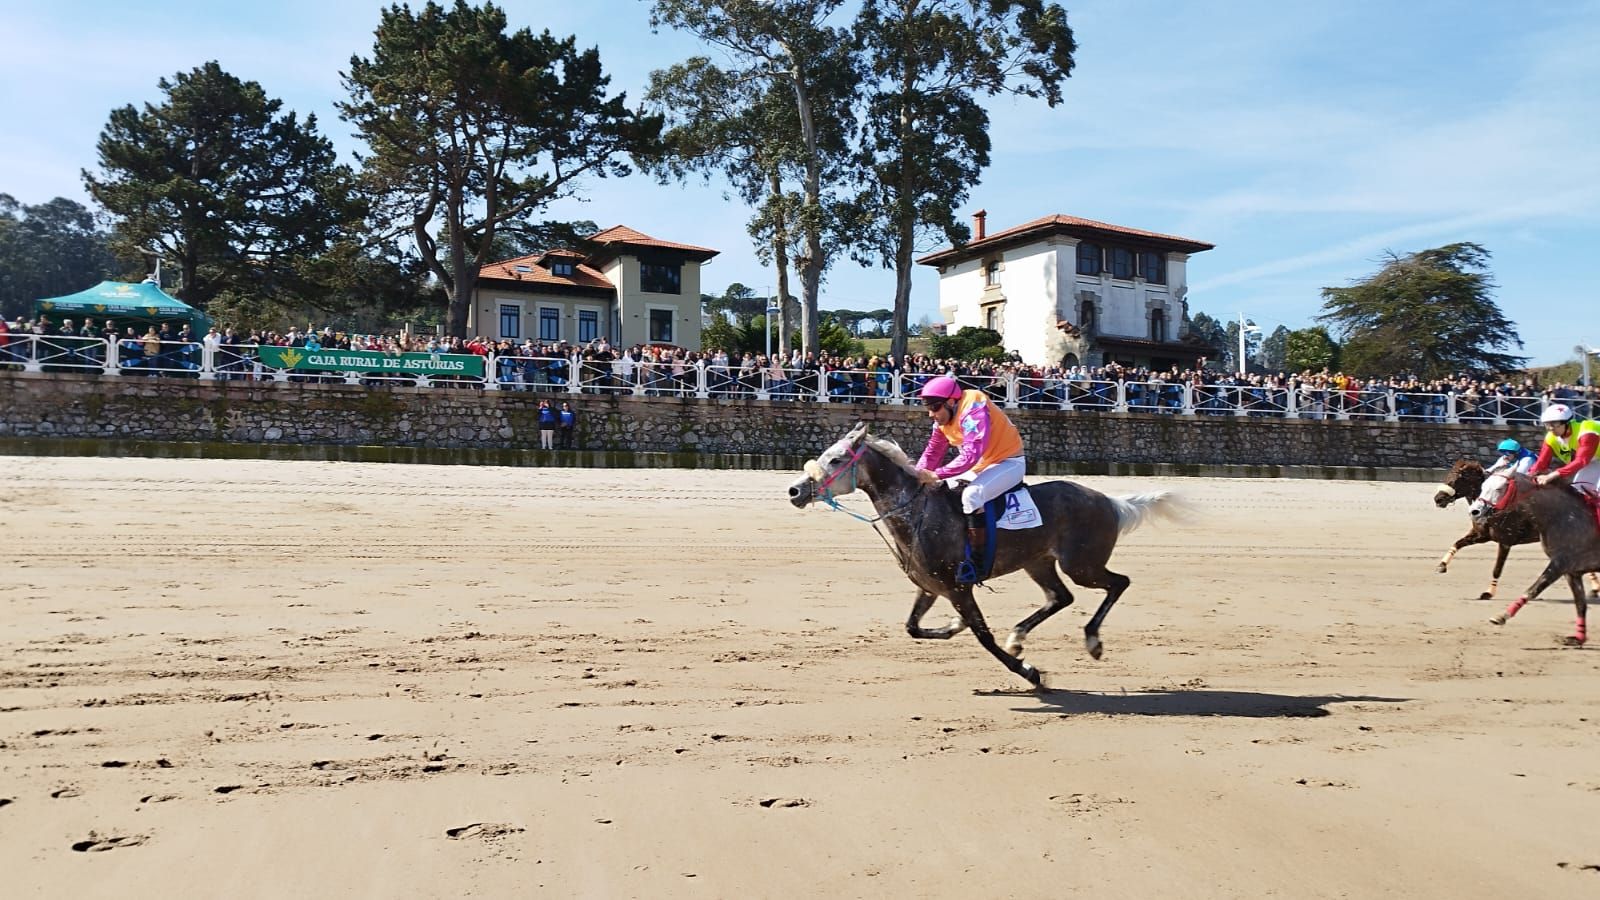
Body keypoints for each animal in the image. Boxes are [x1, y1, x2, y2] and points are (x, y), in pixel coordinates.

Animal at [780, 422, 1184, 682]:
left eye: (835, 460)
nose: (795, 491)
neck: (918, 513)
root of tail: (1110, 501)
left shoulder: (959, 588)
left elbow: (983, 636)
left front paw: (1029, 673)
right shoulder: (931, 586)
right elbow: (913, 627)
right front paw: (954, 626)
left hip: (1082, 564)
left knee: (1118, 583)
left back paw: (1092, 640)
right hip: (1039, 562)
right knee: (1061, 597)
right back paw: (1019, 637)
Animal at [1433, 461, 1542, 595]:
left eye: (1459, 478)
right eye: (1448, 475)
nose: (1438, 499)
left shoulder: (1506, 540)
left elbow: (1498, 568)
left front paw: (1489, 592)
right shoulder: (1481, 535)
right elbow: (1457, 543)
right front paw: (1442, 565)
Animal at [1465, 474, 1600, 640]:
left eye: (1499, 488)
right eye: (1483, 486)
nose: (1474, 511)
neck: (1565, 517)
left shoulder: (1560, 563)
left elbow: (1534, 589)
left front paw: (1501, 616)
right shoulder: (1571, 571)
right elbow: (1580, 603)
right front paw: (1578, 638)